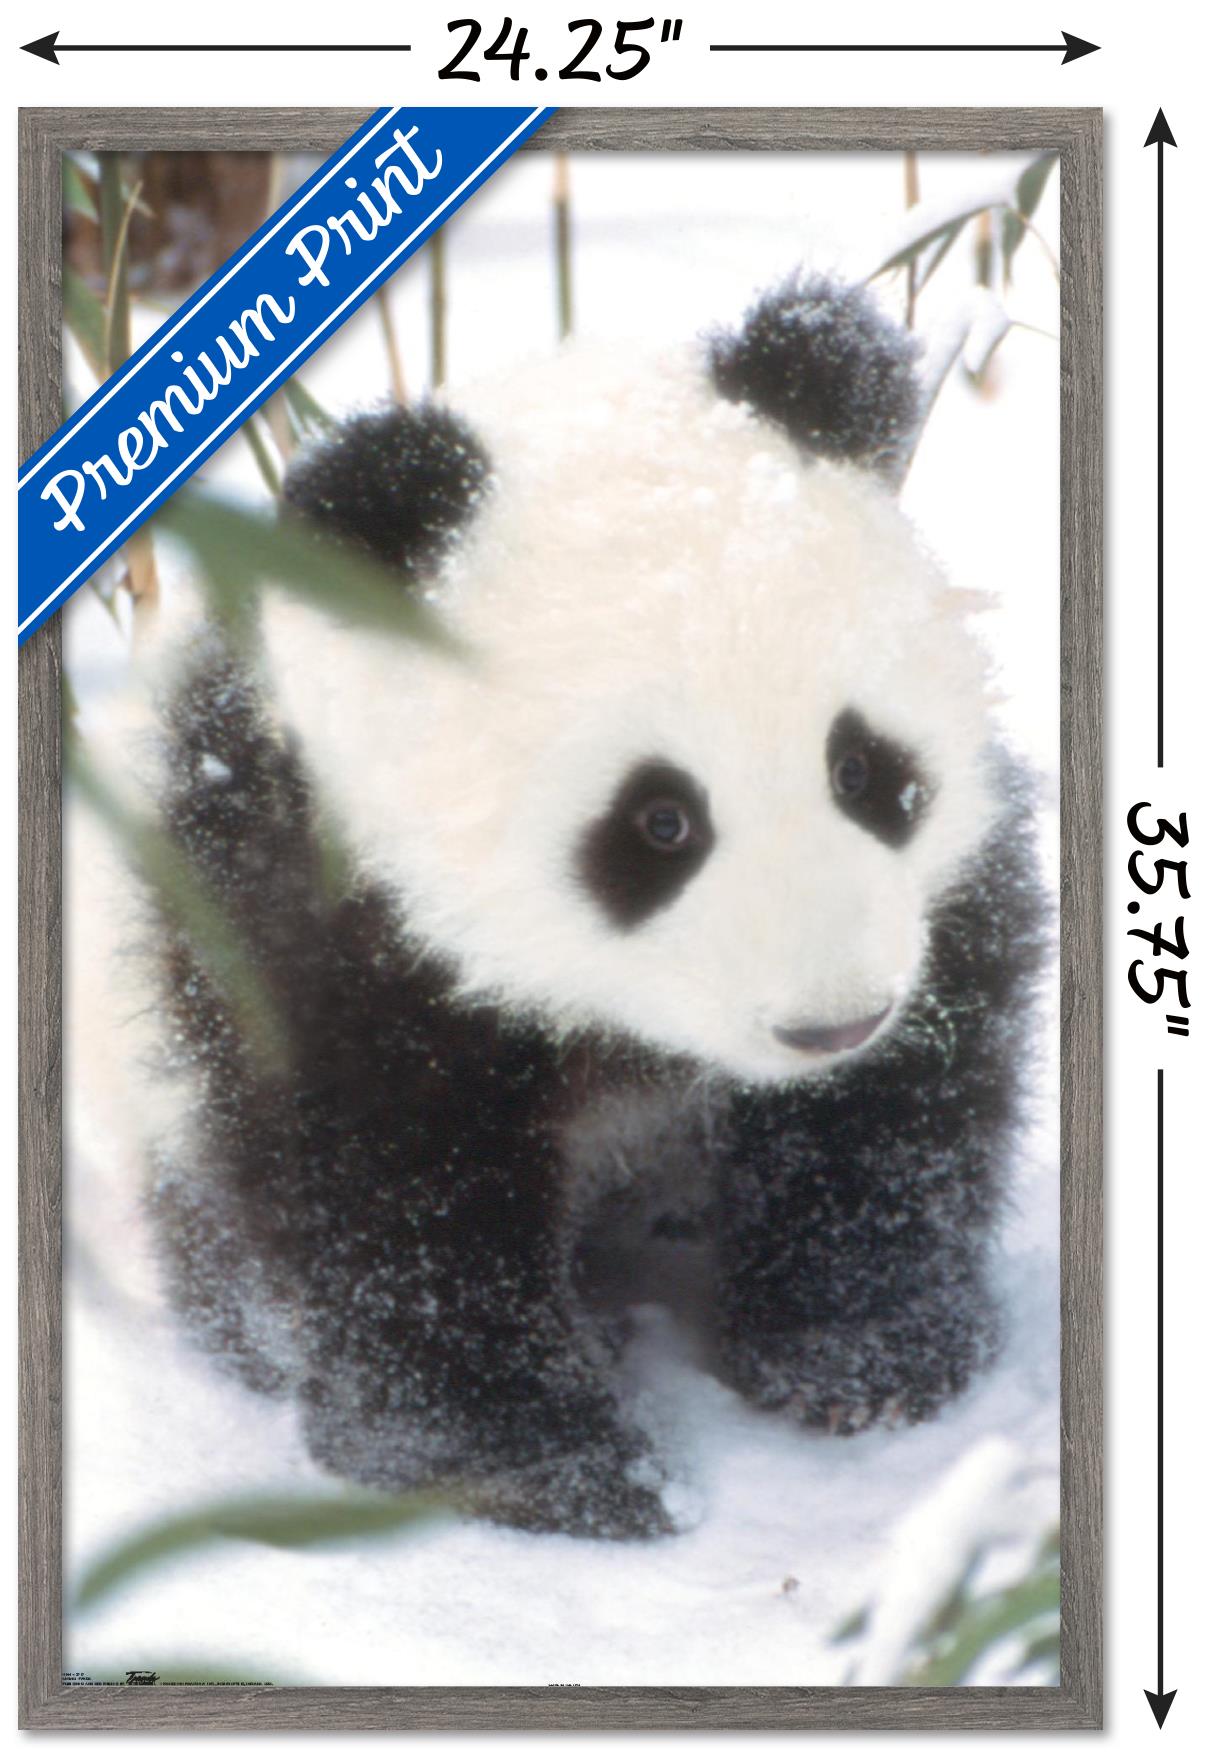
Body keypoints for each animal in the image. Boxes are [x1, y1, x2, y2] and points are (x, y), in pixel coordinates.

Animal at [148, 274, 1046, 1540]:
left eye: (864, 768)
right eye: (659, 821)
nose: (831, 1023)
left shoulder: (936, 905)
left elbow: (902, 1106)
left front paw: (863, 1354)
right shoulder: (305, 910)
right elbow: (385, 1202)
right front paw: (544, 1465)